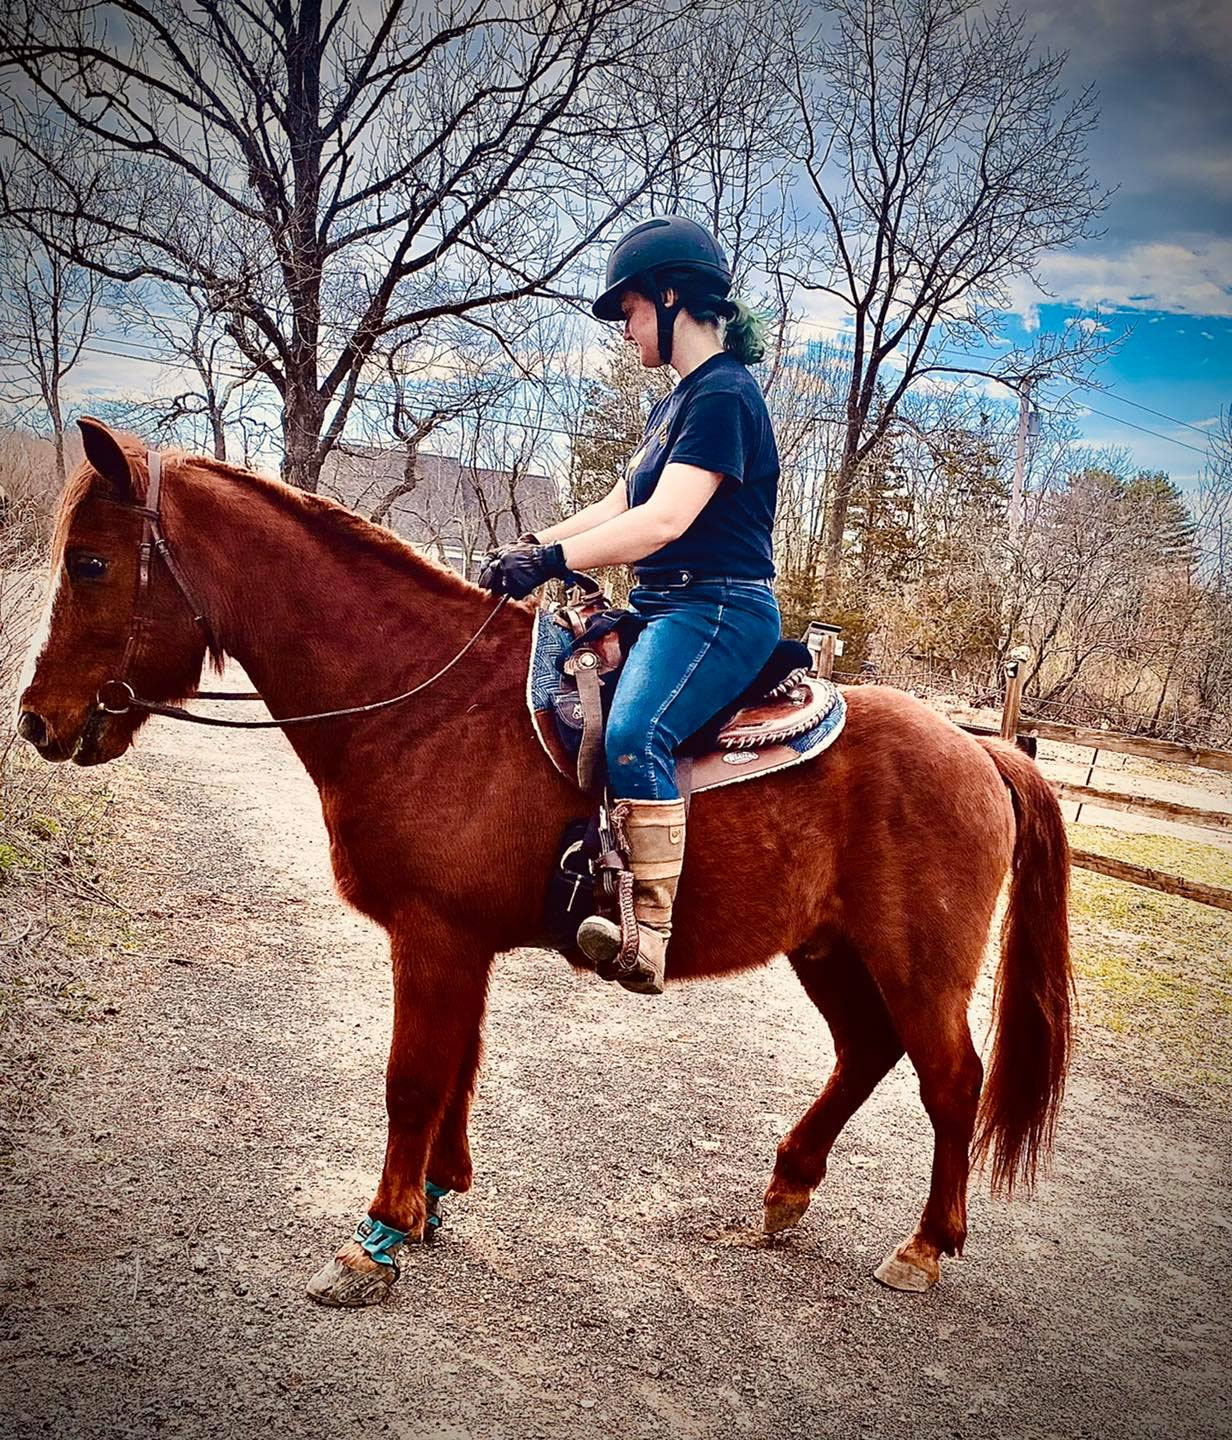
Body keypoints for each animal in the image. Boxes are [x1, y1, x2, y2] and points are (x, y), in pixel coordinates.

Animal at [15, 418, 1073, 1307]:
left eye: (92, 562)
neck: (419, 699)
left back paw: (926, 1245)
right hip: (831, 949)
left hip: (918, 964)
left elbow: (412, 1075)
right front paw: (435, 1198)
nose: (36, 720)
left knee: (950, 1081)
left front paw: (376, 1237)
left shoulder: (433, 936)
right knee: (866, 1051)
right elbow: (459, 1065)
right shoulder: (460, 942)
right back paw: (787, 1191)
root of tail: (982, 749)